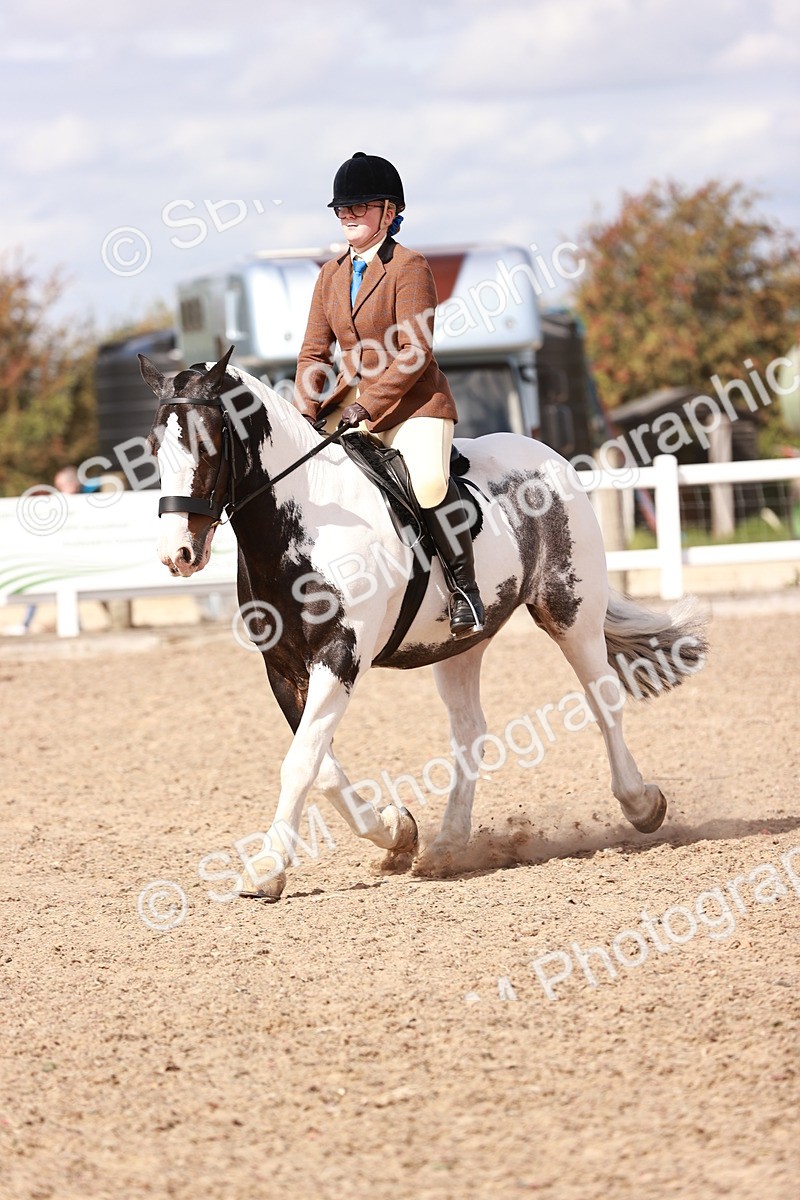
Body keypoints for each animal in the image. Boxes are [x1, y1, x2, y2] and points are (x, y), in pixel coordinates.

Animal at [140, 349, 707, 900]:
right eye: (153, 446)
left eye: (207, 443)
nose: (177, 555)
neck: (306, 522)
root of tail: (549, 456)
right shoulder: (283, 668)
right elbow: (320, 766)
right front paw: (397, 832)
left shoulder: (339, 656)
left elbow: (301, 763)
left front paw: (267, 868)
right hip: (460, 645)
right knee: (470, 731)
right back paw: (446, 846)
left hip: (570, 613)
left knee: (602, 698)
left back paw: (642, 804)